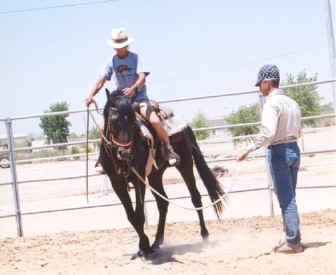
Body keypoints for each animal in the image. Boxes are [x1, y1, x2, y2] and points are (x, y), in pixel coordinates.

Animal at [100, 89, 226, 260]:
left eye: (133, 122)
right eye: (113, 121)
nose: (125, 153)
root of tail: (185, 126)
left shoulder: (139, 178)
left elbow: (139, 215)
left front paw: (144, 248)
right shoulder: (116, 183)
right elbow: (131, 216)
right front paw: (144, 247)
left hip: (185, 164)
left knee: (195, 197)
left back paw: (204, 235)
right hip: (155, 175)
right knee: (163, 203)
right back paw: (157, 241)